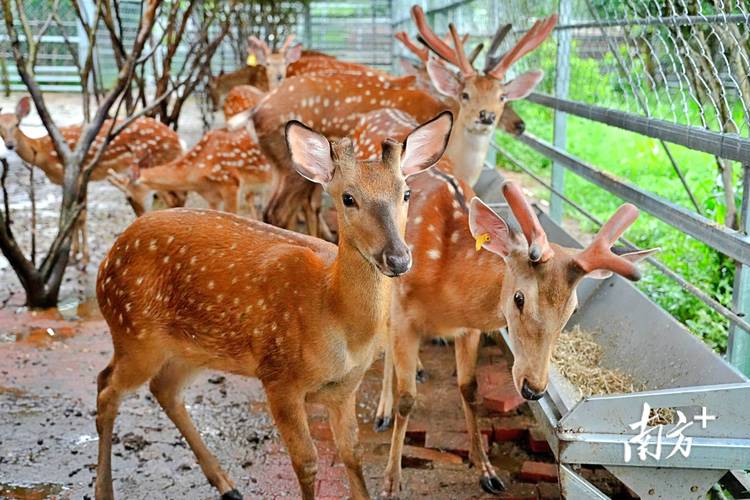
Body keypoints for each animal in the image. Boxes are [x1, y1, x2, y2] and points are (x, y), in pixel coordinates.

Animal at [0, 96, 183, 265]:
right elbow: (71, 214)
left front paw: (83, 258)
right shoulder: (71, 179)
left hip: (153, 165)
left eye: (17, 124)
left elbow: (80, 216)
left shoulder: (80, 173)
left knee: (172, 198)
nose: (10, 145)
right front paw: (74, 253)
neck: (43, 152)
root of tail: (179, 141)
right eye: (0, 127)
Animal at [377, 174, 658, 497]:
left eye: (572, 310)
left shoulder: (469, 329)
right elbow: (407, 398)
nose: (533, 389)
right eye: (519, 298)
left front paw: (487, 471)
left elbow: (469, 389)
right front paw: (391, 481)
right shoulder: (403, 312)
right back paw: (382, 413)